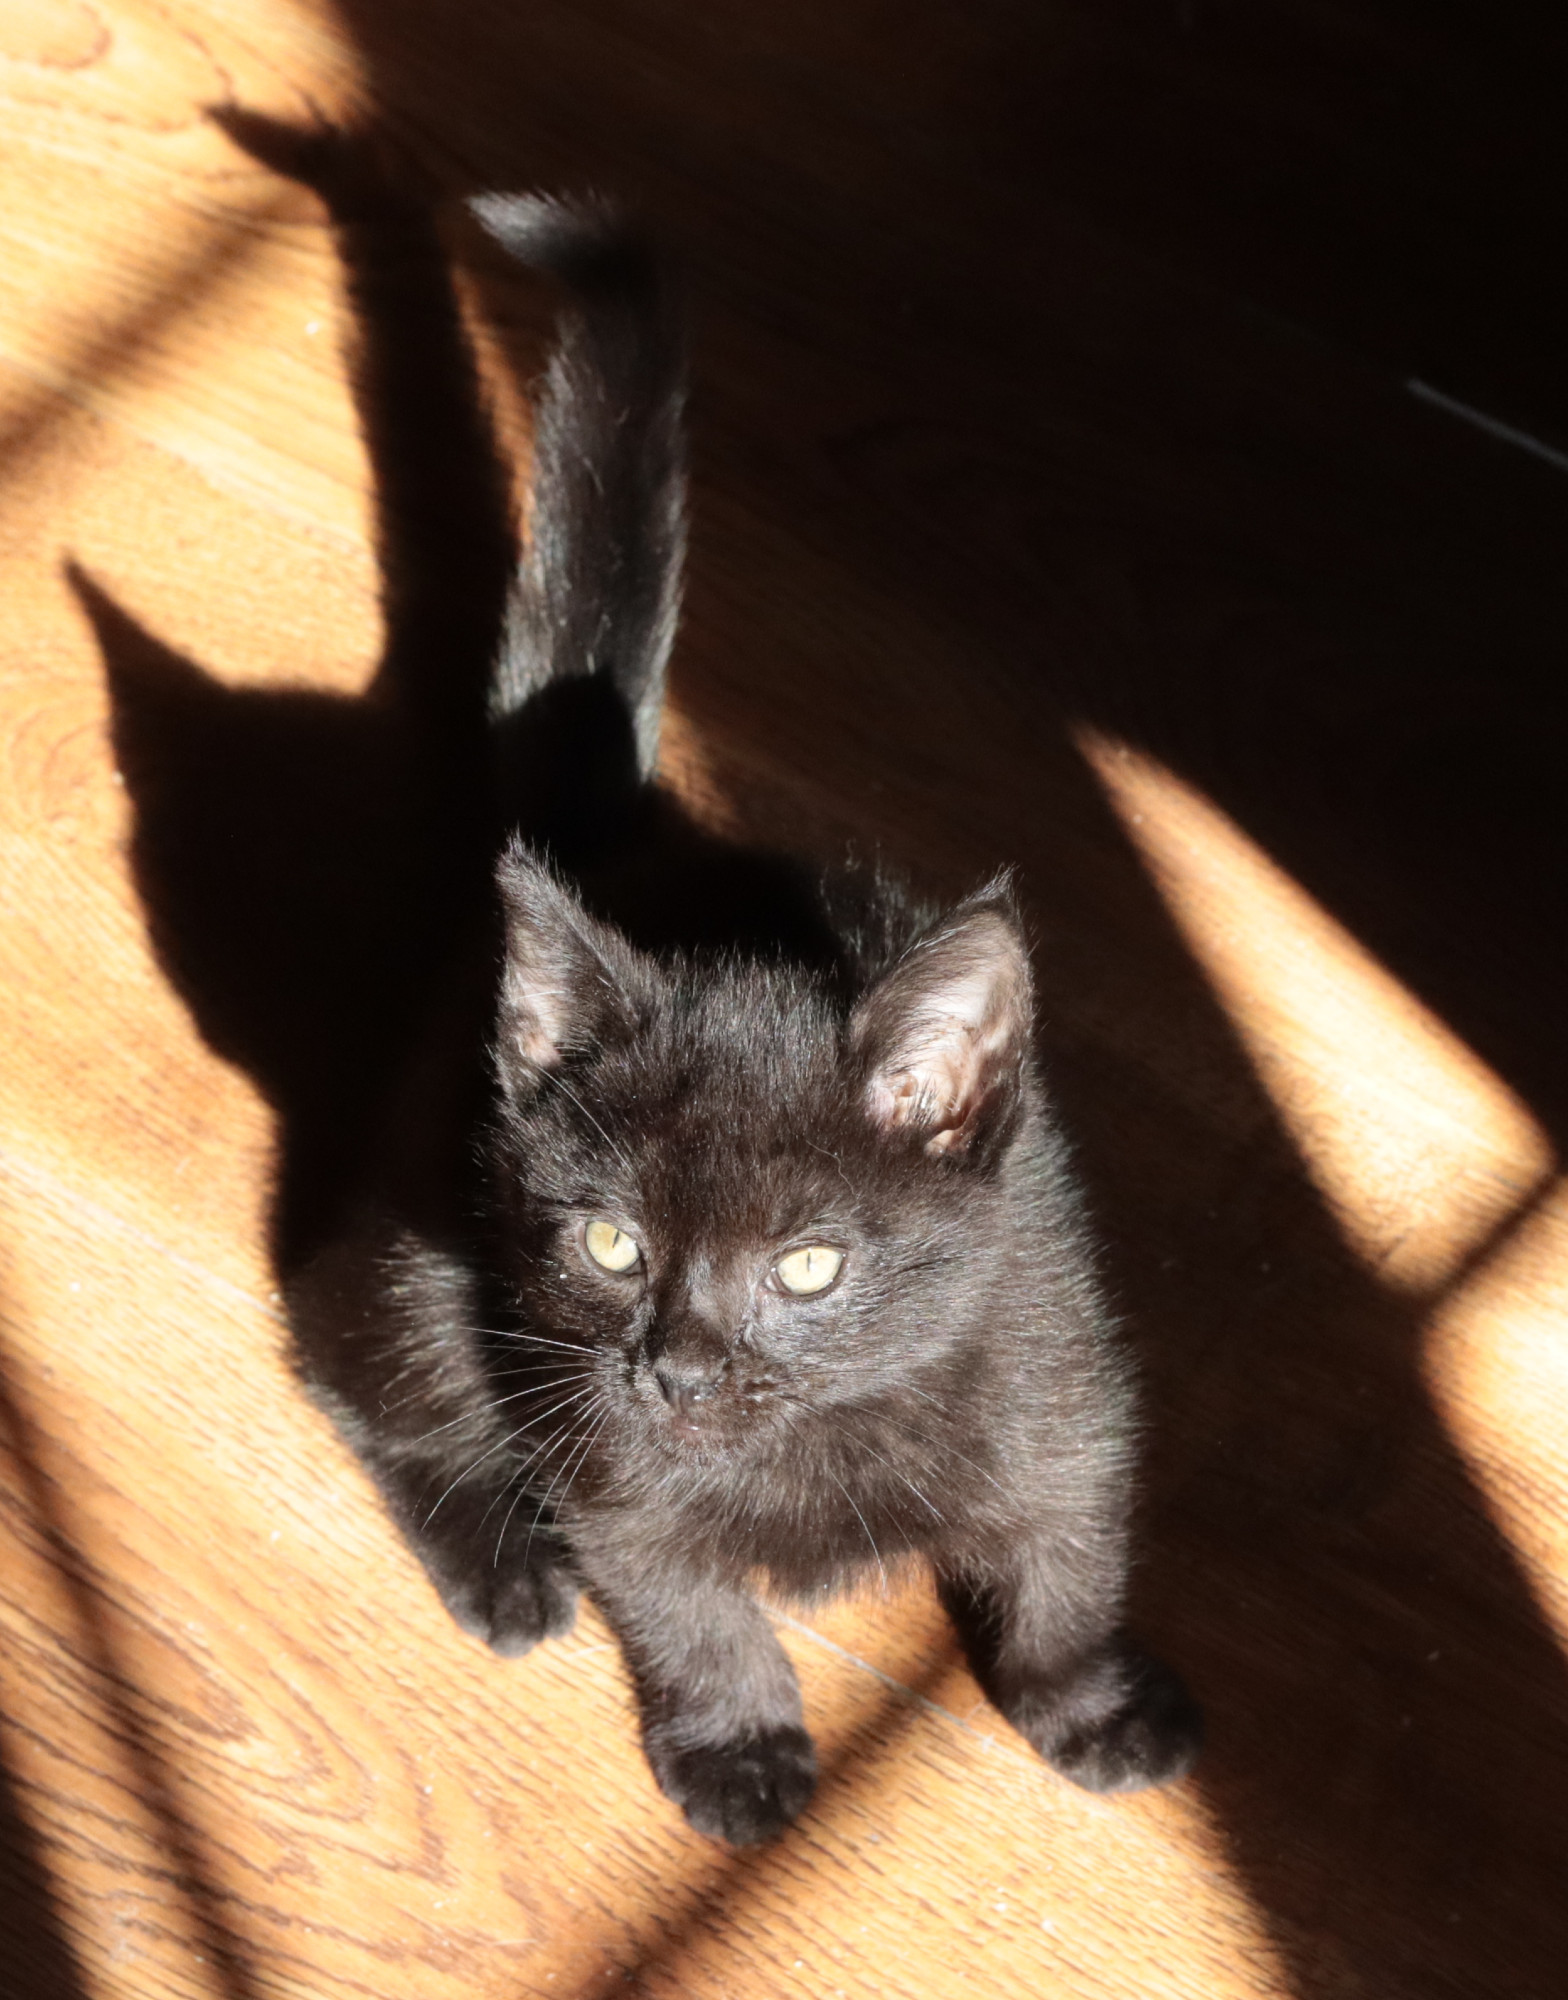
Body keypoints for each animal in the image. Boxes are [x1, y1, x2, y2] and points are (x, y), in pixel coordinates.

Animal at [290, 188, 1200, 1840]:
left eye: (812, 1266)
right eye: (609, 1245)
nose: (683, 1369)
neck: (809, 1436)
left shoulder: (1057, 1367)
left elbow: (1066, 1557)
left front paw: (1089, 1703)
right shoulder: (611, 1466)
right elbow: (688, 1600)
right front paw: (738, 1749)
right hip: (429, 1258)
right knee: (361, 1360)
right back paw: (500, 1567)